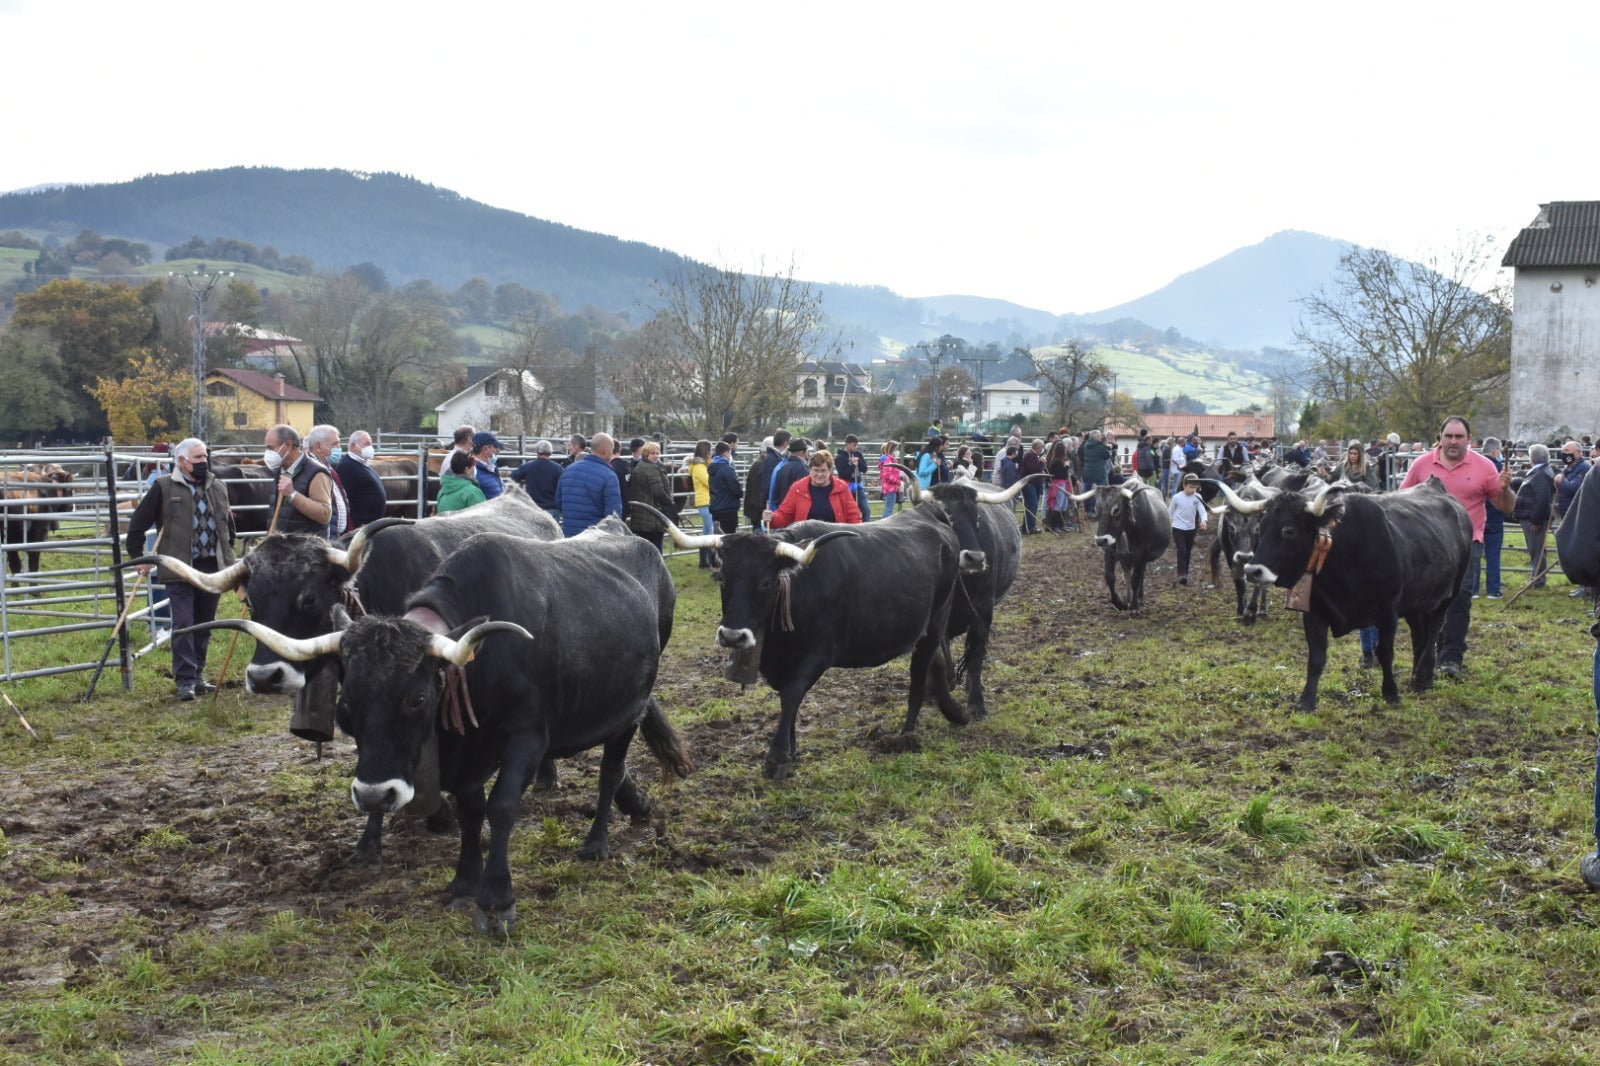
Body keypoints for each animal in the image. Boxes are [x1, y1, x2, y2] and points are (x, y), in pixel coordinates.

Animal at [183, 518, 694, 934]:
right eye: (346, 709)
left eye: (417, 699)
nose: (375, 795)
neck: (479, 663)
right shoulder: (458, 751)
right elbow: (470, 811)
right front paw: (463, 882)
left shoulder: (527, 736)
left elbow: (501, 807)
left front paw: (496, 898)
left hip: (627, 713)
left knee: (610, 770)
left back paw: (596, 842)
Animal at [889, 464, 1036, 713]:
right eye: (946, 519)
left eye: (977, 519)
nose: (975, 559)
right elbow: (938, 653)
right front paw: (934, 689)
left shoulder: (983, 611)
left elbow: (975, 655)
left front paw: (977, 704)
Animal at [1203, 473, 1280, 624]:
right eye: (1231, 527)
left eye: (1257, 528)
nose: (1244, 556)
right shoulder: (1230, 556)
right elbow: (1239, 583)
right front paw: (1240, 610)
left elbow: (1258, 581)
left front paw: (1250, 612)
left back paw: (1262, 610)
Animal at [1222, 473, 1472, 710]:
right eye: (1261, 528)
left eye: (1289, 531)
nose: (1252, 570)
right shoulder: (1314, 612)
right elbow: (1316, 656)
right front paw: (1306, 701)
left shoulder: (1388, 613)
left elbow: (1385, 653)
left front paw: (1391, 693)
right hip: (1416, 603)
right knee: (1419, 635)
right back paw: (1419, 678)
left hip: (1449, 594)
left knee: (1435, 630)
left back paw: (1422, 677)